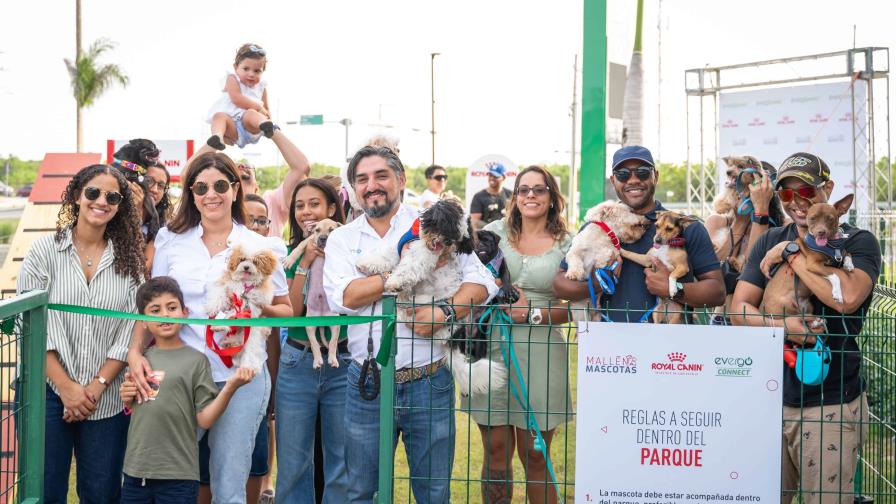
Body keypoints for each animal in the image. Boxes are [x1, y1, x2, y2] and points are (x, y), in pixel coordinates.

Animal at [206, 242, 276, 372]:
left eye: (255, 262)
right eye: (242, 259)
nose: (246, 267)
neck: (245, 284)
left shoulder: (253, 302)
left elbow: (236, 313)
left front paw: (223, 323)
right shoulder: (227, 284)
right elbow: (219, 293)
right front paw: (212, 307)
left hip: (253, 334)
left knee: (251, 349)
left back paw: (249, 366)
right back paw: (229, 342)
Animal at [356, 199, 508, 396]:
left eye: (460, 237)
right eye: (448, 227)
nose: (449, 242)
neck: (424, 238)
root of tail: (453, 340)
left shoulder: (426, 255)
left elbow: (409, 267)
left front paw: (395, 281)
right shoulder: (403, 247)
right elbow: (387, 255)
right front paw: (367, 263)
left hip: (426, 304)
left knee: (407, 309)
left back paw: (402, 296)